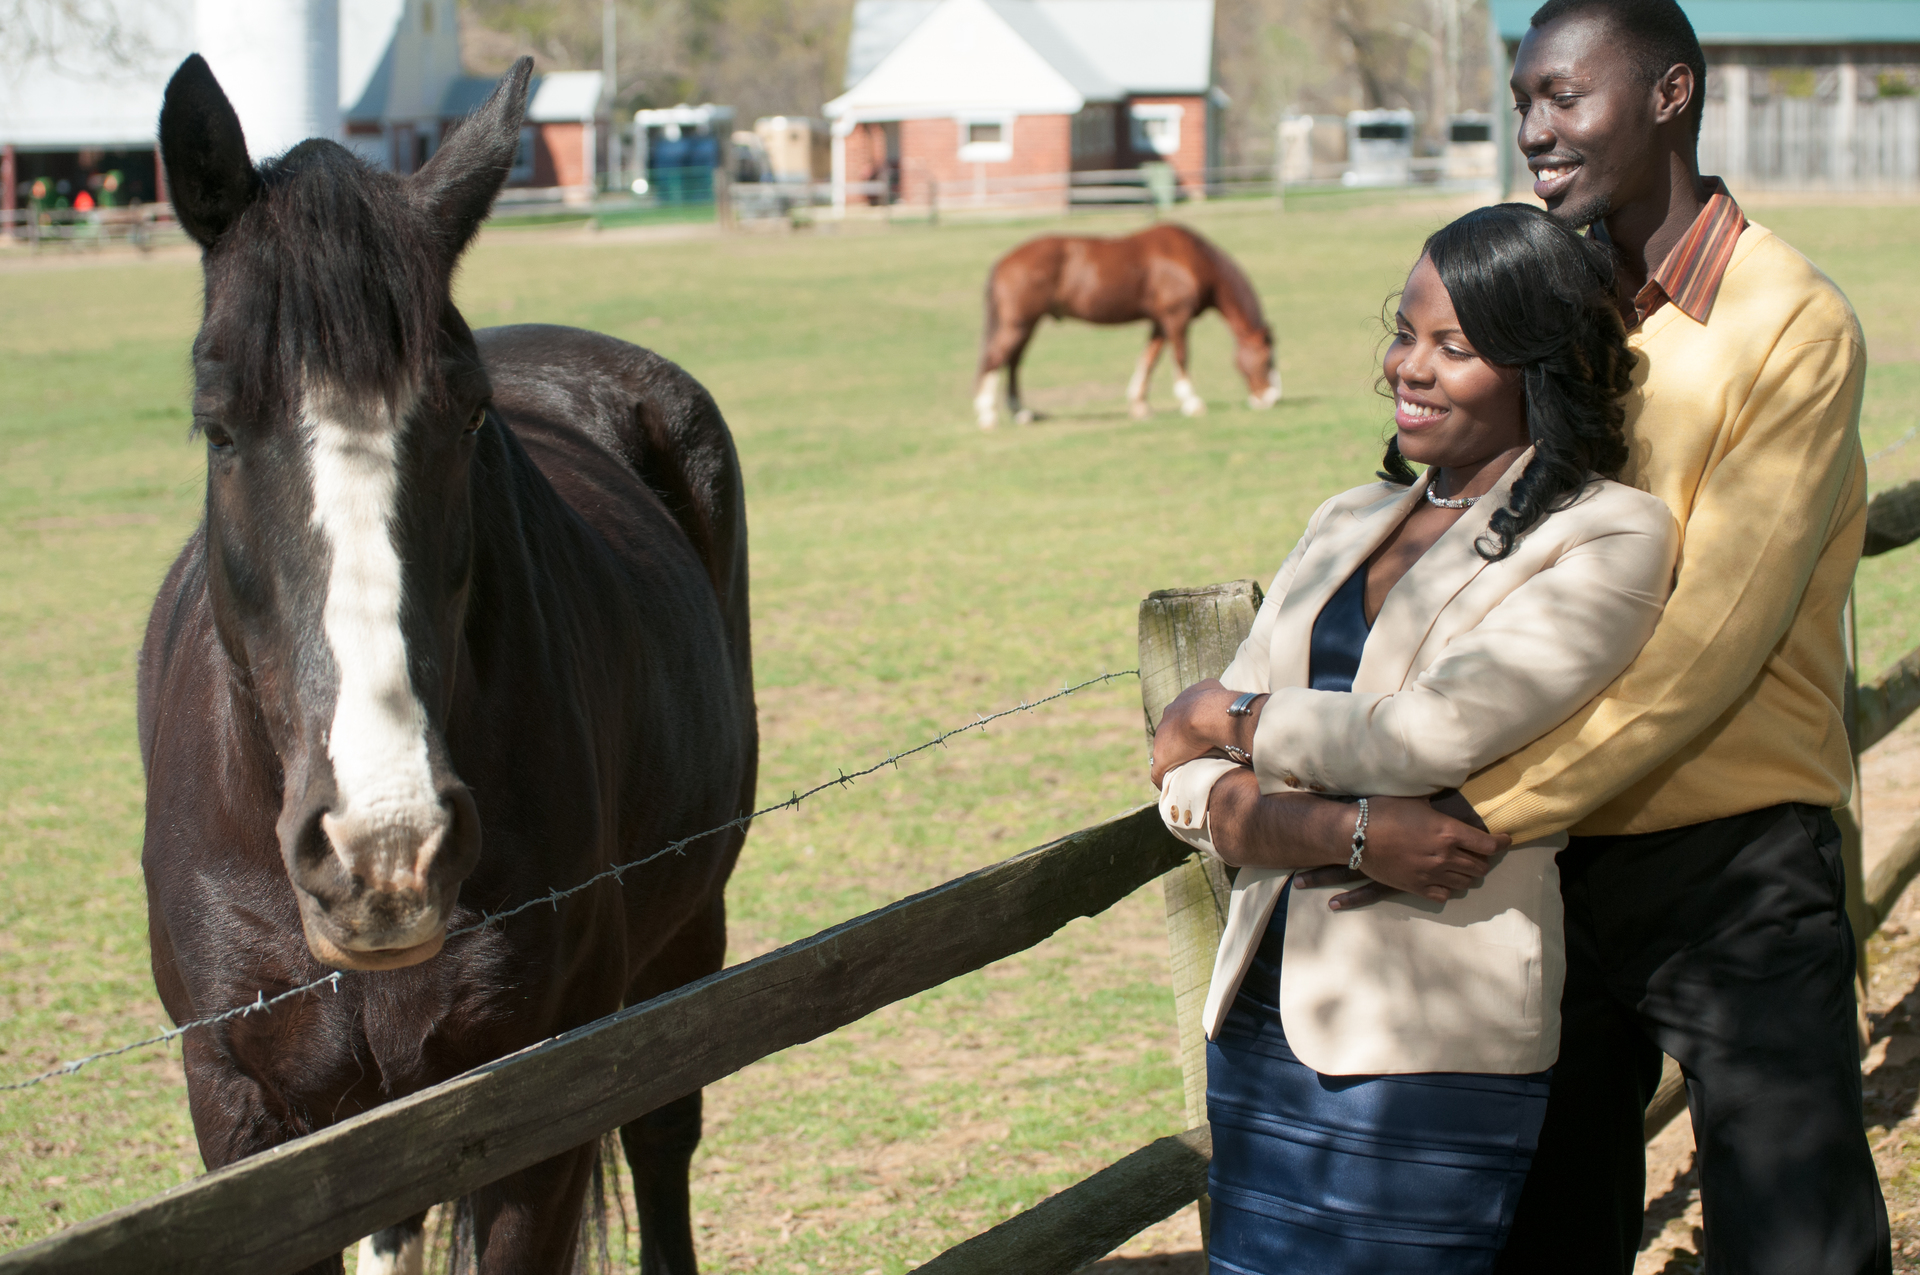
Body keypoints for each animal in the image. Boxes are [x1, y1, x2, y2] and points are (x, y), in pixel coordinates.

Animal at [133, 54, 748, 1267]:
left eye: (468, 419)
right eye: (217, 425)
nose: (387, 847)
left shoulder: (534, 1106)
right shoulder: (242, 1113)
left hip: (684, 941)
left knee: (661, 1136)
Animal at [983, 222, 1282, 428]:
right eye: (1266, 360)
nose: (1270, 399)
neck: (1191, 258)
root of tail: (1003, 262)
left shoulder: (1160, 323)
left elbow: (1148, 360)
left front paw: (1140, 407)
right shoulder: (1176, 318)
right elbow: (1181, 357)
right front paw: (1192, 402)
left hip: (1026, 325)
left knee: (1012, 362)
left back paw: (1021, 412)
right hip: (1018, 324)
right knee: (996, 359)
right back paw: (987, 415)